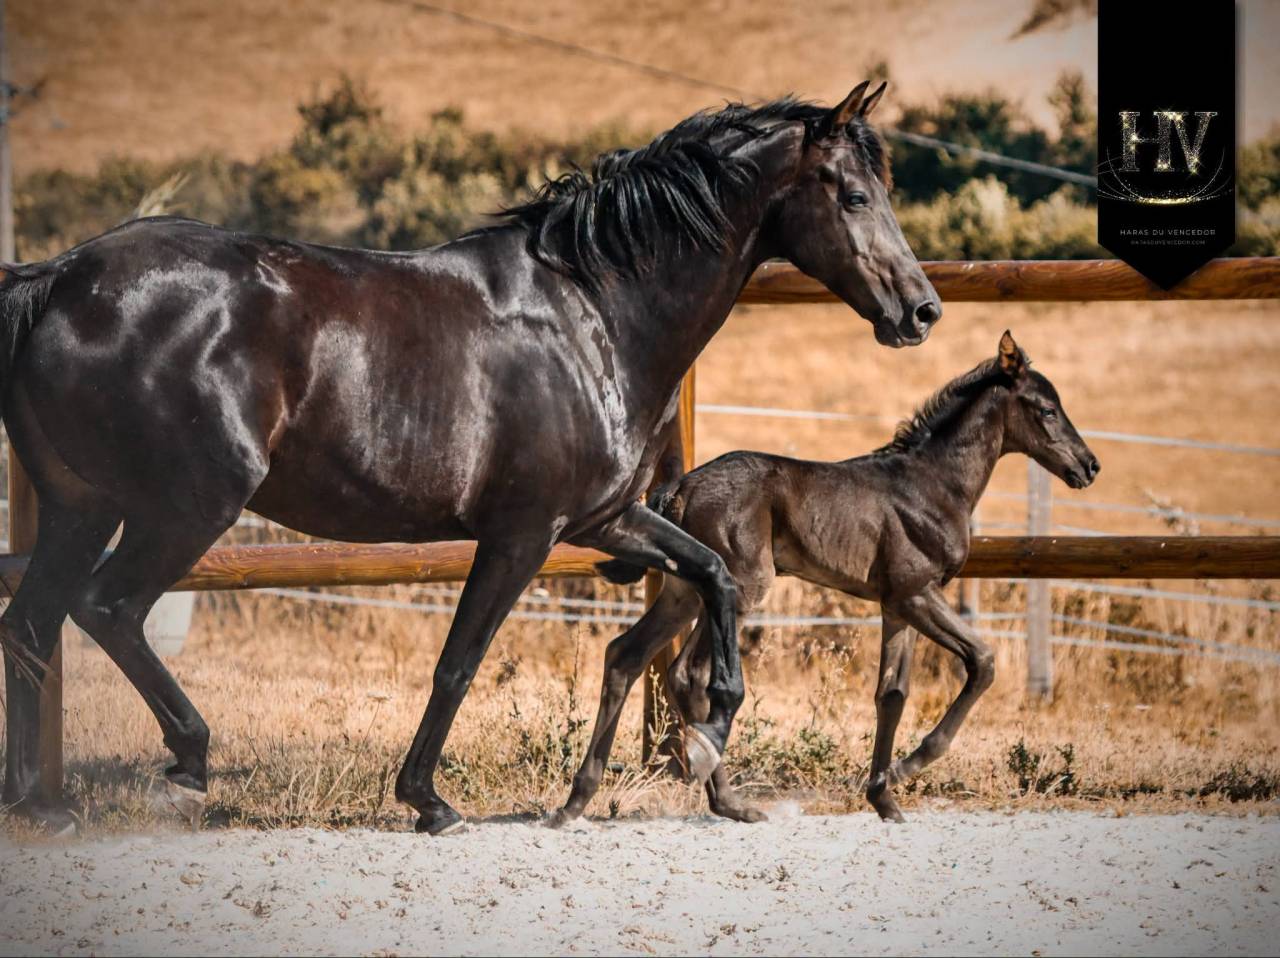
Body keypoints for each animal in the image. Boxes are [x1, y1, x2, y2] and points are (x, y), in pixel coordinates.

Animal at [0, 81, 940, 835]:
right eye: (855, 194)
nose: (922, 311)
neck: (592, 313)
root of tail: (62, 278)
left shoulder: (606, 521)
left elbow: (713, 575)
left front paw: (709, 739)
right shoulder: (522, 533)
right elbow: (459, 661)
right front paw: (428, 801)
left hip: (81, 507)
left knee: (31, 624)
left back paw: (38, 805)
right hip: (185, 507)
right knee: (108, 609)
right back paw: (185, 764)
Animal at [554, 331, 1098, 826]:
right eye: (1047, 410)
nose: (1089, 466)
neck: (932, 484)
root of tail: (681, 487)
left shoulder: (895, 604)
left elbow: (891, 694)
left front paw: (884, 798)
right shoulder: (918, 592)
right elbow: (982, 661)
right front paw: (907, 768)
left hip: (684, 589)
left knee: (626, 654)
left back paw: (579, 800)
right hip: (740, 586)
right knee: (690, 673)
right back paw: (720, 791)